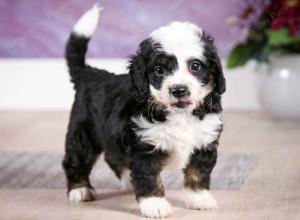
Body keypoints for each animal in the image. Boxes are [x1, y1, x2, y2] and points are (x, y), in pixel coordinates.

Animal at [62, 5, 225, 218]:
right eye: (159, 70)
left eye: (195, 66)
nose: (179, 90)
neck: (179, 115)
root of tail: (88, 73)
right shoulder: (144, 147)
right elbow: (149, 177)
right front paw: (155, 205)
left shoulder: (204, 141)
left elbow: (198, 172)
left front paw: (200, 198)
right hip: (83, 132)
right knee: (77, 158)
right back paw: (80, 189)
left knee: (113, 156)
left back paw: (127, 181)